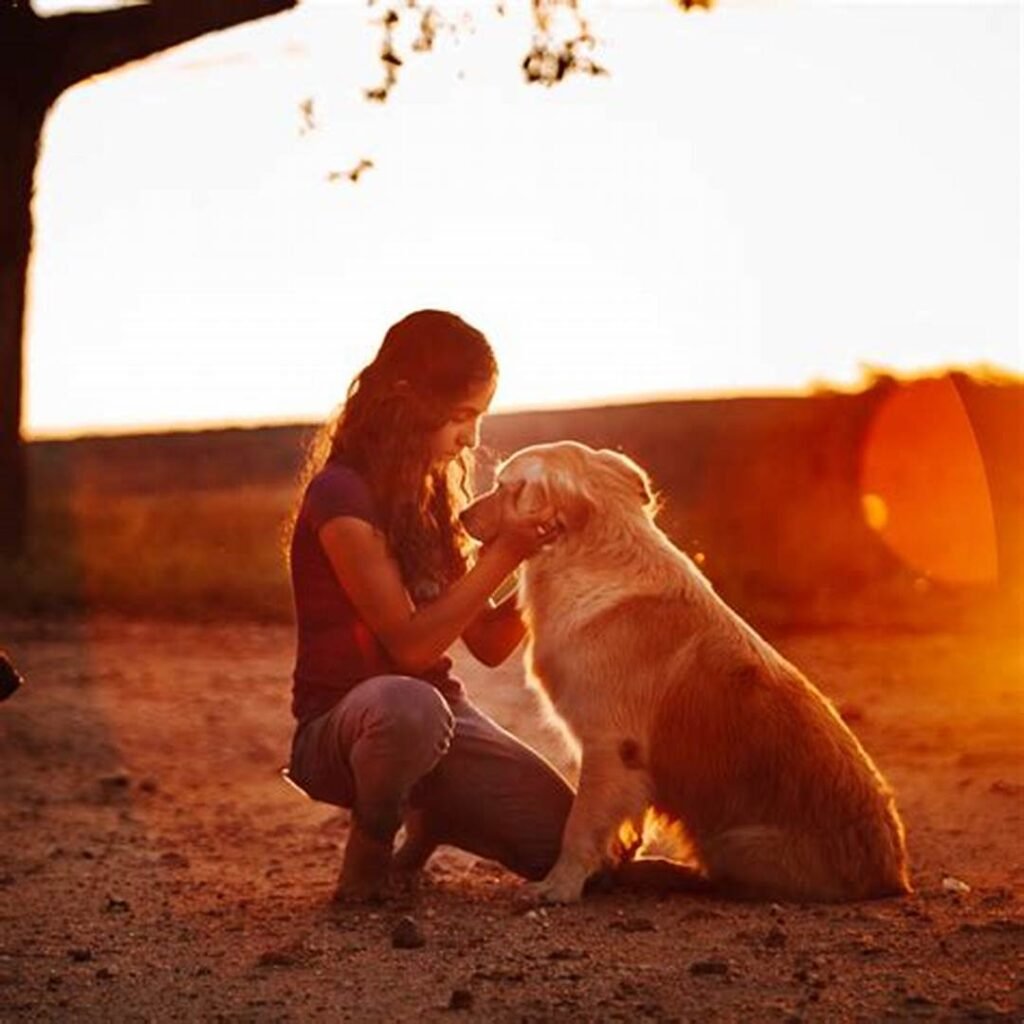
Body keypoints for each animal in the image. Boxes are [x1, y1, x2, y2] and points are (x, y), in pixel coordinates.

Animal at [460, 442, 909, 905]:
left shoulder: (609, 745)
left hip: (733, 842)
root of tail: (893, 877)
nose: (462, 516)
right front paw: (611, 860)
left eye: (502, 486)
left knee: (717, 880)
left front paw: (559, 886)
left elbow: (579, 826)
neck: (589, 553)